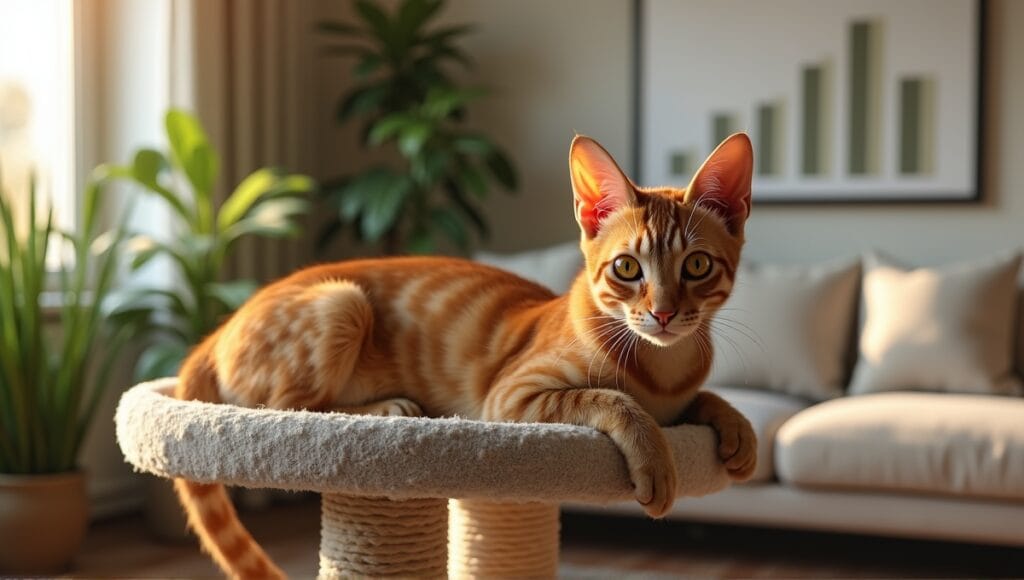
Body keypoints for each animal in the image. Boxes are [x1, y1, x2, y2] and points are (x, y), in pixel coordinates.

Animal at [172, 134, 757, 577]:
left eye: (697, 266)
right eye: (627, 269)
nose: (663, 313)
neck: (662, 370)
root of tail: (217, 331)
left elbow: (704, 397)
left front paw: (738, 430)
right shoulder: (512, 397)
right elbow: (610, 399)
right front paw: (655, 456)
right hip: (342, 304)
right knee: (287, 410)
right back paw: (388, 409)